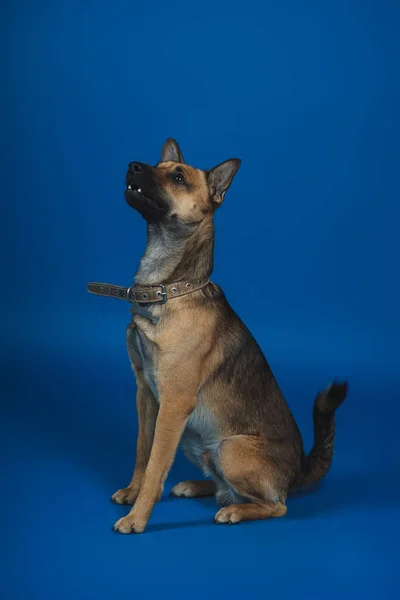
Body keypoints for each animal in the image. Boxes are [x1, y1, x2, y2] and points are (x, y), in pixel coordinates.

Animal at [86, 138, 346, 532]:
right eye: (158, 166)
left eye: (177, 177)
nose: (132, 165)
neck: (170, 289)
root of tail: (298, 470)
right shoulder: (145, 393)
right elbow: (143, 451)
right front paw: (132, 492)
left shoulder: (174, 405)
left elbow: (155, 466)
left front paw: (137, 517)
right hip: (194, 439)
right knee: (227, 488)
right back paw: (198, 486)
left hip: (228, 448)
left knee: (276, 504)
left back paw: (236, 510)